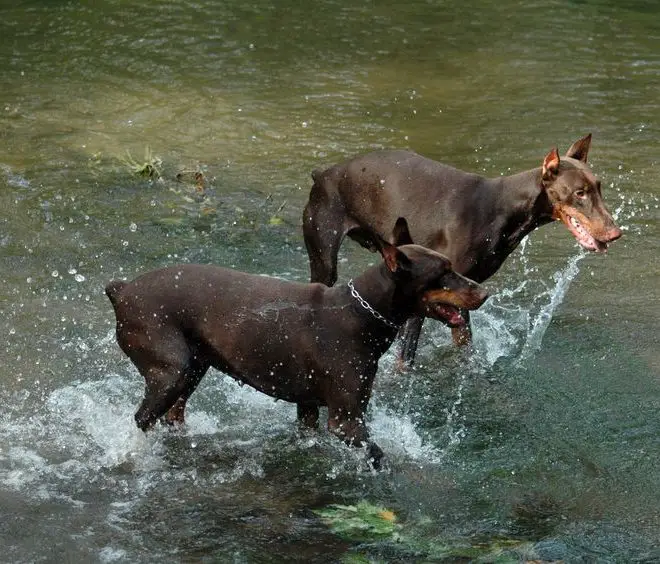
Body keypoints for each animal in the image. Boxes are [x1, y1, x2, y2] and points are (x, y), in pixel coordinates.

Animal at [103, 223, 484, 470]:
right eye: (442, 273)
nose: (484, 291)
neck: (361, 312)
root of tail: (122, 290)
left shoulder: (309, 408)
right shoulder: (346, 420)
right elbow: (380, 456)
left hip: (194, 367)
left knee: (173, 415)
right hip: (172, 369)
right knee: (142, 419)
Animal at [302, 135, 620, 368]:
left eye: (599, 187)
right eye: (579, 193)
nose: (615, 233)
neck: (503, 209)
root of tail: (324, 173)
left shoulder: (465, 292)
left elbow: (465, 345)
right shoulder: (425, 294)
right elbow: (405, 359)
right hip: (323, 256)